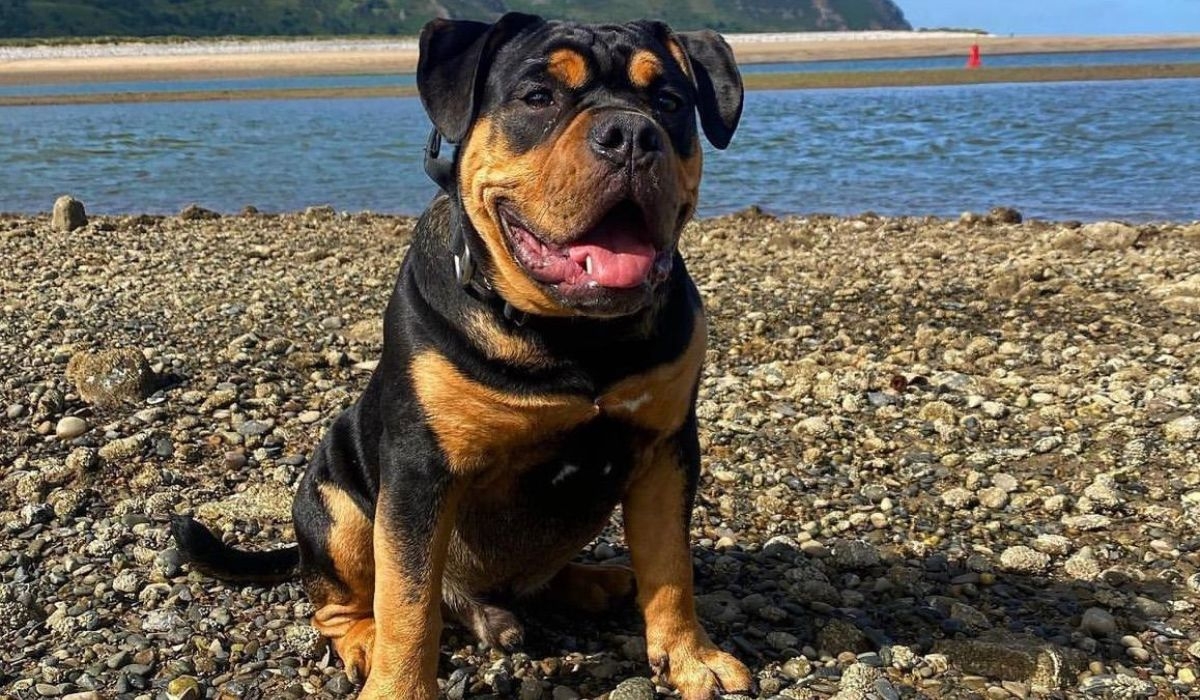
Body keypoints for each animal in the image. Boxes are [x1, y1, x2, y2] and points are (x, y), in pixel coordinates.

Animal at [174, 12, 744, 700]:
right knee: (345, 601)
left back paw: (594, 582)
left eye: (669, 103)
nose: (631, 133)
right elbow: (408, 601)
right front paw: (397, 687)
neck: (572, 332)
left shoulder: (666, 448)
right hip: (337, 508)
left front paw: (692, 658)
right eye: (538, 97)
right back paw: (366, 638)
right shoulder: (420, 473)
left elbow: (670, 564)